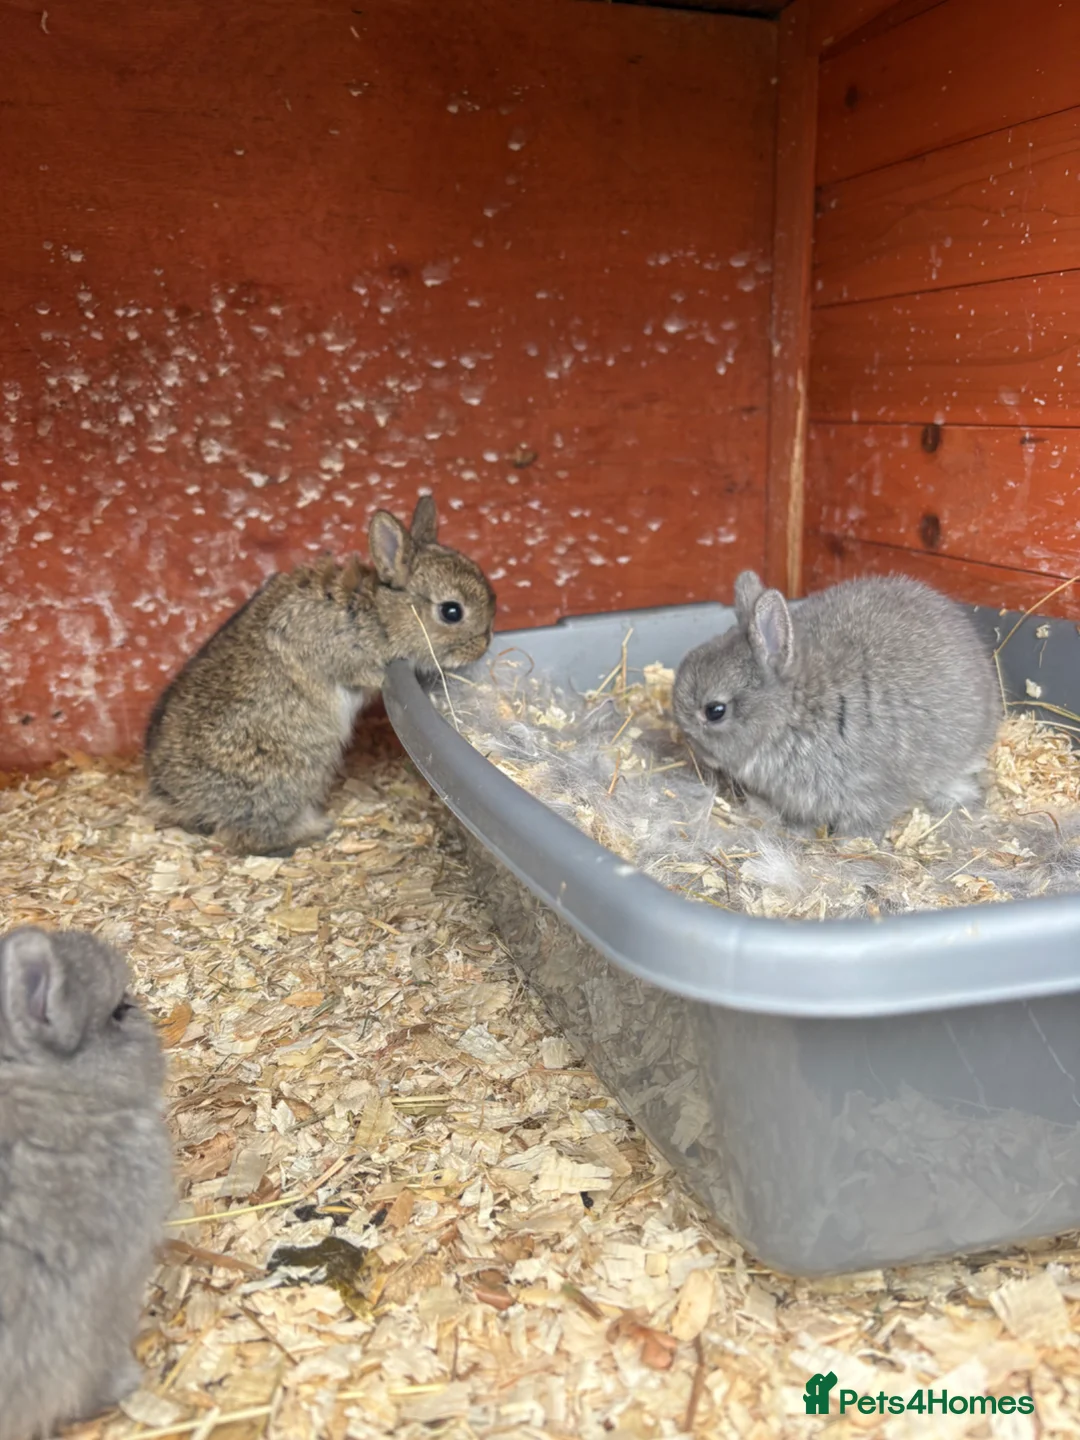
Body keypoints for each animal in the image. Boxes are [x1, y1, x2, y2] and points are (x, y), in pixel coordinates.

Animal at [144, 493, 496, 855]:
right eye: (451, 611)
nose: (483, 646)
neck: (378, 613)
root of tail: (175, 796)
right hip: (285, 777)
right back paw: (313, 830)